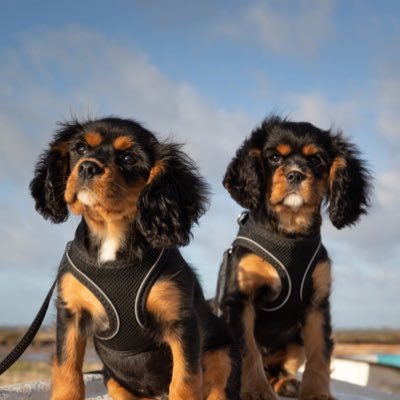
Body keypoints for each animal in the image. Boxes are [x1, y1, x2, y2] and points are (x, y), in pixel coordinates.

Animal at [30, 117, 241, 400]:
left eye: (129, 158)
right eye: (80, 149)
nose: (87, 167)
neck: (111, 234)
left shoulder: (181, 322)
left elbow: (185, 380)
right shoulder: (70, 315)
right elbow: (67, 370)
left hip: (223, 352)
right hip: (112, 378)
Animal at [212, 115, 372, 400]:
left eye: (316, 160)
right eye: (274, 157)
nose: (295, 174)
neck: (290, 233)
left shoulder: (317, 305)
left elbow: (320, 352)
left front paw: (317, 393)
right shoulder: (240, 300)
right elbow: (248, 349)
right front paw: (255, 390)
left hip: (296, 340)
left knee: (282, 367)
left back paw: (286, 383)